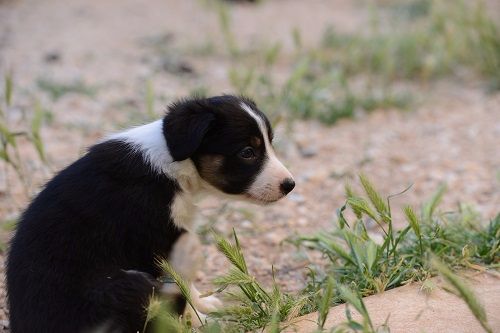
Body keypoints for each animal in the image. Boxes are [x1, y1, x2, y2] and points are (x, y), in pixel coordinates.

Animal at [5, 94, 294, 330]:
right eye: (247, 152)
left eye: (269, 144)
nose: (290, 185)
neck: (172, 166)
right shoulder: (158, 243)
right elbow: (180, 286)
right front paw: (199, 320)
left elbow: (186, 284)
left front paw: (205, 305)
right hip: (128, 285)